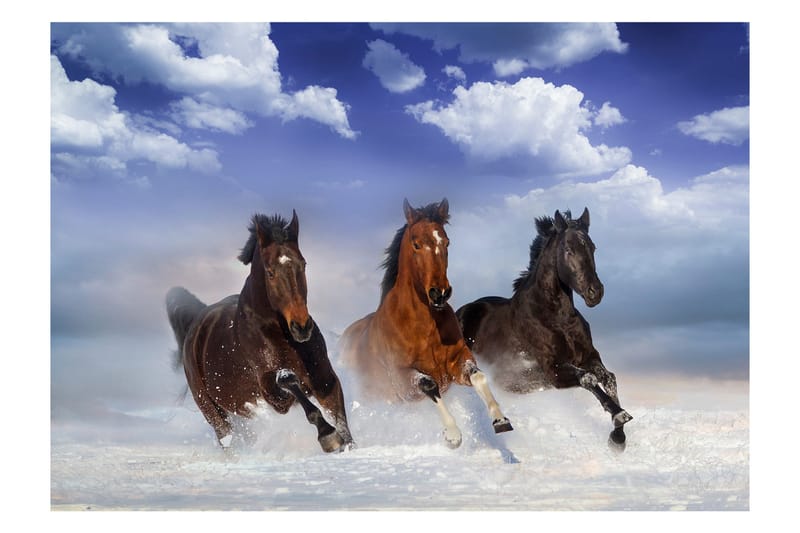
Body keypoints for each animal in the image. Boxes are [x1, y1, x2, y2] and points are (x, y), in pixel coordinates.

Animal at [166, 211, 354, 453]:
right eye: (270, 272)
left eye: (303, 264)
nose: (301, 327)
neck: (280, 334)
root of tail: (196, 325)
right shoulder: (272, 395)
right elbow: (289, 382)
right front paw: (328, 436)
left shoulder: (325, 379)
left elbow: (340, 419)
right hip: (212, 410)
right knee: (227, 439)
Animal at [339, 198, 512, 448]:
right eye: (416, 244)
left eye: (446, 241)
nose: (439, 293)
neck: (424, 327)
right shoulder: (402, 379)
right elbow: (429, 385)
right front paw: (453, 435)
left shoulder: (456, 362)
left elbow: (478, 376)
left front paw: (500, 420)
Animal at [456, 208, 632, 451]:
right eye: (568, 250)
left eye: (593, 247)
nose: (595, 292)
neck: (556, 318)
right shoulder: (552, 369)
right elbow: (588, 379)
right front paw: (618, 415)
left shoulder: (588, 356)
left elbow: (609, 378)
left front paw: (618, 437)